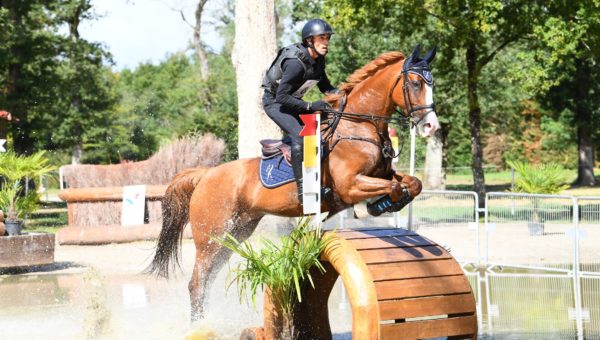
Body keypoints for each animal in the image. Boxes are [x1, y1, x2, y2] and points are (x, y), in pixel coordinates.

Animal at [149, 45, 440, 322]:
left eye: (432, 83)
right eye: (415, 84)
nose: (430, 127)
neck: (358, 125)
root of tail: (205, 175)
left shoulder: (383, 174)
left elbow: (413, 183)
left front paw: (387, 204)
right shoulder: (350, 186)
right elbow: (393, 188)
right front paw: (376, 207)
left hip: (235, 234)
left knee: (207, 281)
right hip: (211, 237)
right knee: (197, 283)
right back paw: (199, 326)